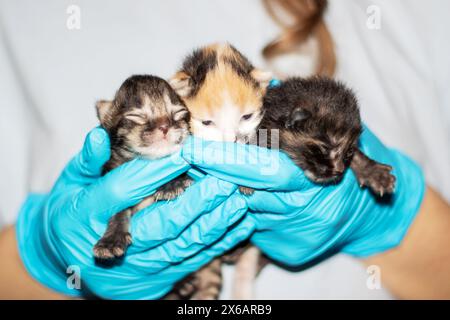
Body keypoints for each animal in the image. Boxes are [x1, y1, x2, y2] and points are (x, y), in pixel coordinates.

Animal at [93, 74, 193, 260]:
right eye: (137, 116)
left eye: (178, 114)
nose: (164, 126)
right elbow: (118, 210)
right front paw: (111, 240)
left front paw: (172, 184)